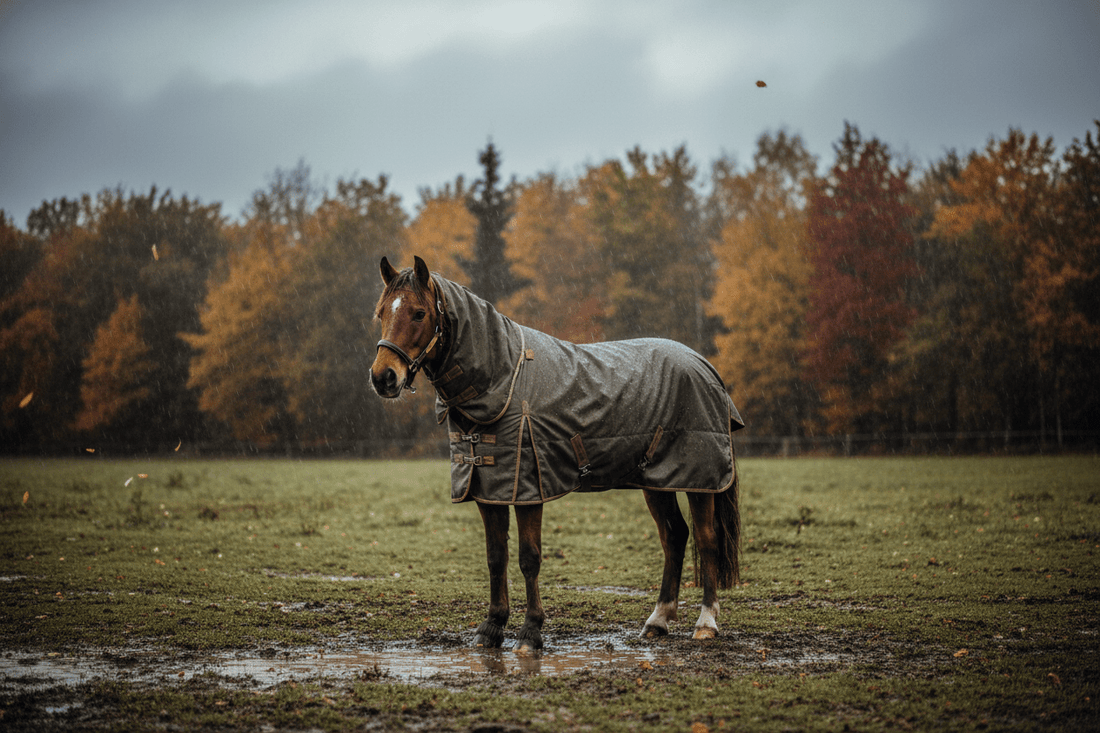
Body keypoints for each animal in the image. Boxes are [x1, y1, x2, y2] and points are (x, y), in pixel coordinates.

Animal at [370, 255, 744, 651]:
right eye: (381, 313)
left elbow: (529, 558)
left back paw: (706, 623)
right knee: (674, 536)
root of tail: (704, 366)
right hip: (656, 480)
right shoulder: (489, 490)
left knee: (706, 539)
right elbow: (495, 557)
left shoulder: (529, 489)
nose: (383, 377)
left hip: (700, 479)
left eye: (419, 313)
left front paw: (530, 632)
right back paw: (658, 620)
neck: (503, 378)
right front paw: (492, 627)